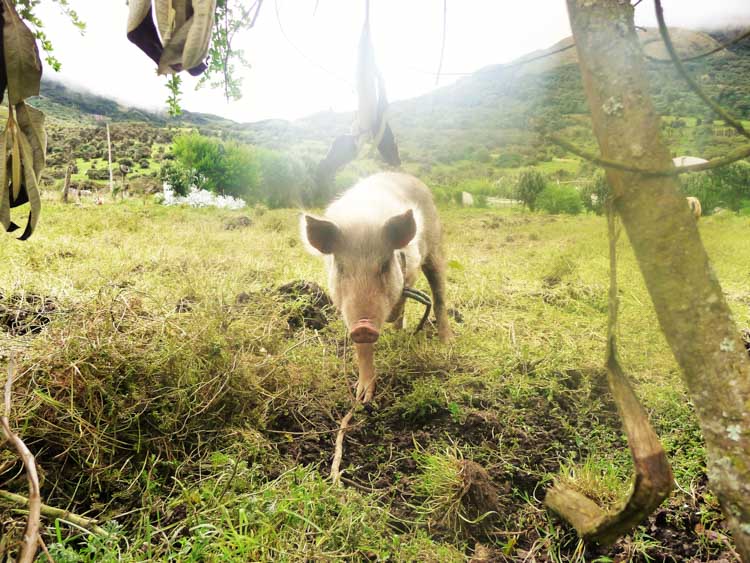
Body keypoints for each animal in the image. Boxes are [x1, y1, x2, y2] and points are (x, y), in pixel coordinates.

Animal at [300, 170, 452, 404]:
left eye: (384, 266)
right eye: (341, 267)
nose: (363, 326)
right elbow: (362, 349)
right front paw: (363, 398)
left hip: (435, 249)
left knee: (439, 297)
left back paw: (447, 343)